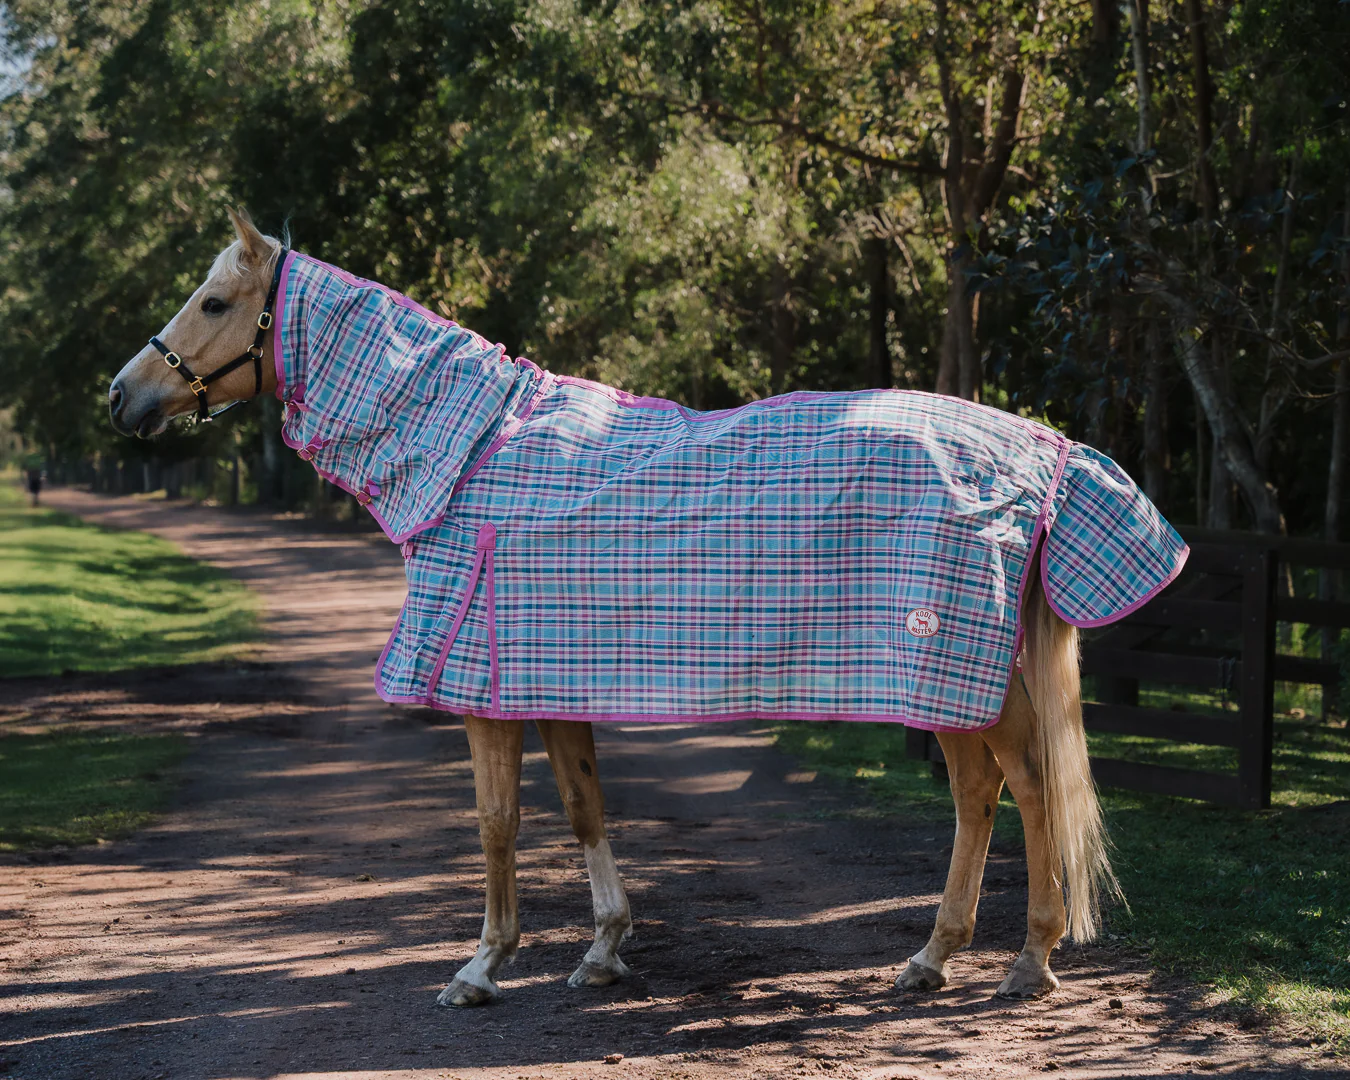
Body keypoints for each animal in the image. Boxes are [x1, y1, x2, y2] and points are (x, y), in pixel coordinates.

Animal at [109, 209, 1187, 1008]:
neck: (472, 455)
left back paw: (1029, 961)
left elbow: (497, 821)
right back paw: (933, 958)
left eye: (214, 301)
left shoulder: (486, 693)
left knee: (1028, 789)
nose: (123, 397)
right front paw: (602, 952)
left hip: (962, 678)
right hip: (948, 687)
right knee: (979, 794)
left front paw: (481, 968)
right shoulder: (552, 683)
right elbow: (584, 808)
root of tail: (1039, 452)